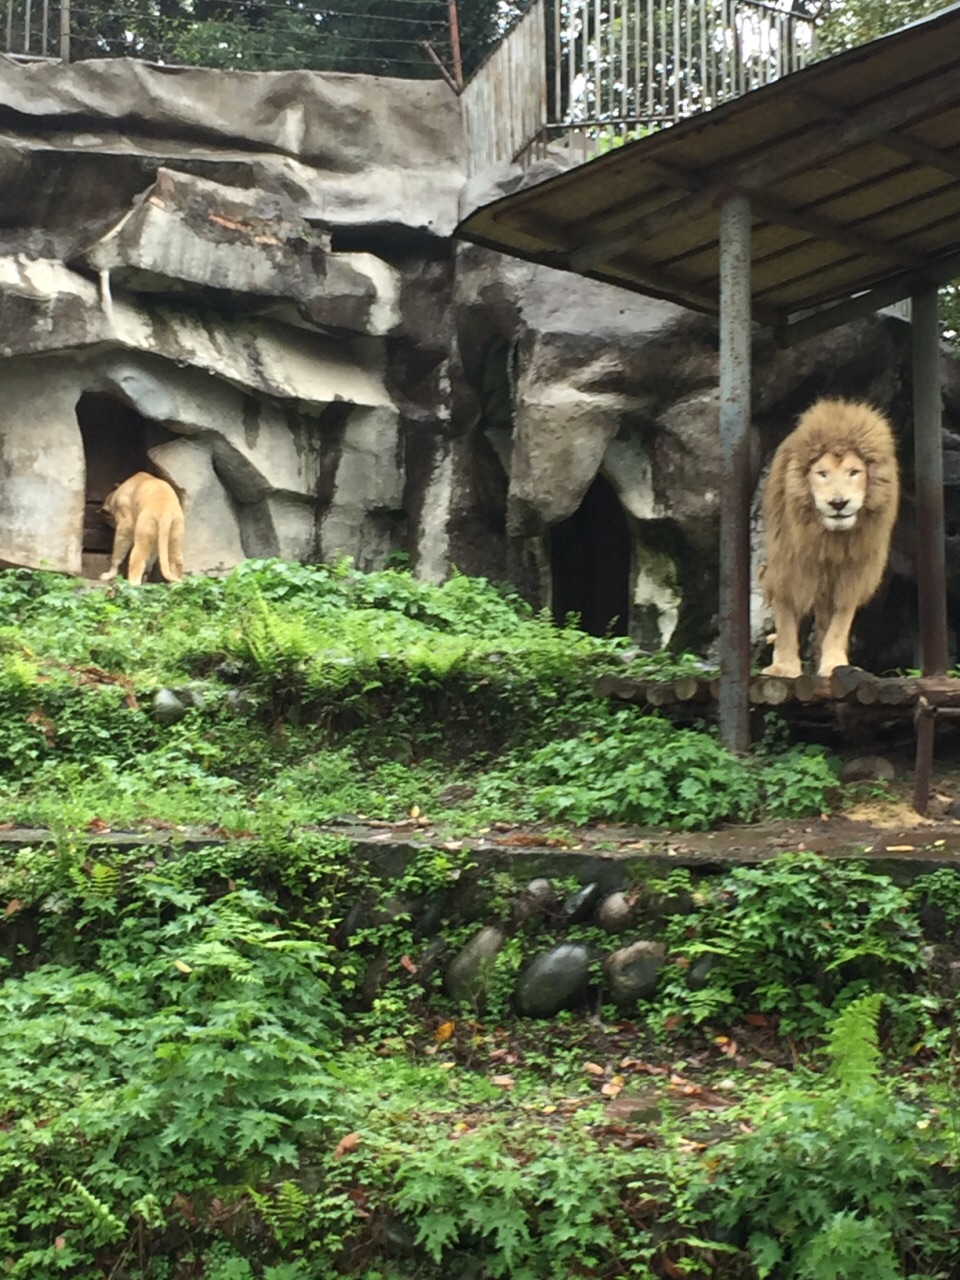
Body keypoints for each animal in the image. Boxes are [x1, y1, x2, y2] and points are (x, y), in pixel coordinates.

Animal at [757, 399, 901, 680]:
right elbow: (786, 616)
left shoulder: (853, 573)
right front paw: (784, 667)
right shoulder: (788, 565)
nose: (838, 503)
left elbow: (839, 622)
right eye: (822, 473)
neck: (830, 538)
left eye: (854, 472)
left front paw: (834, 663)